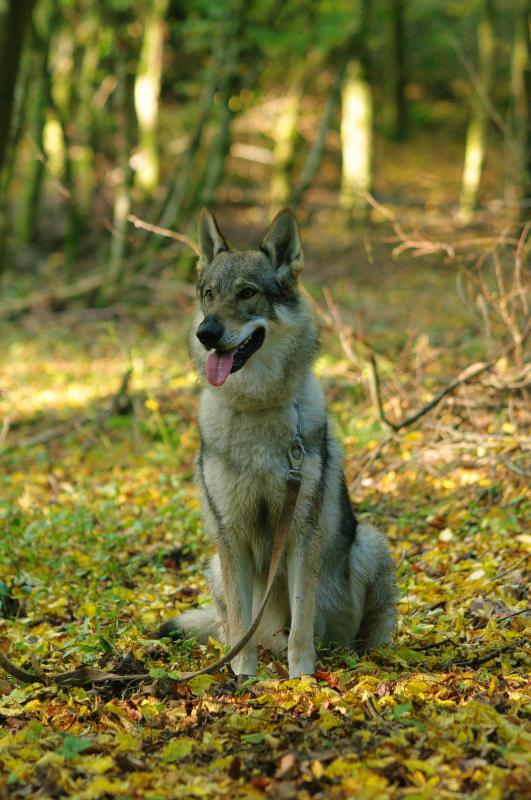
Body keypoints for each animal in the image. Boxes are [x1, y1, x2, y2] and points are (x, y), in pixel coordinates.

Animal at [160, 209, 396, 680]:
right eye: (209, 295)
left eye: (247, 293)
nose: (206, 333)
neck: (257, 408)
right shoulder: (231, 533)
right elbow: (240, 621)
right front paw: (243, 675)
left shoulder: (302, 531)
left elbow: (302, 620)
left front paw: (302, 676)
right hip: (216, 567)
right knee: (237, 627)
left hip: (370, 544)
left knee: (350, 636)